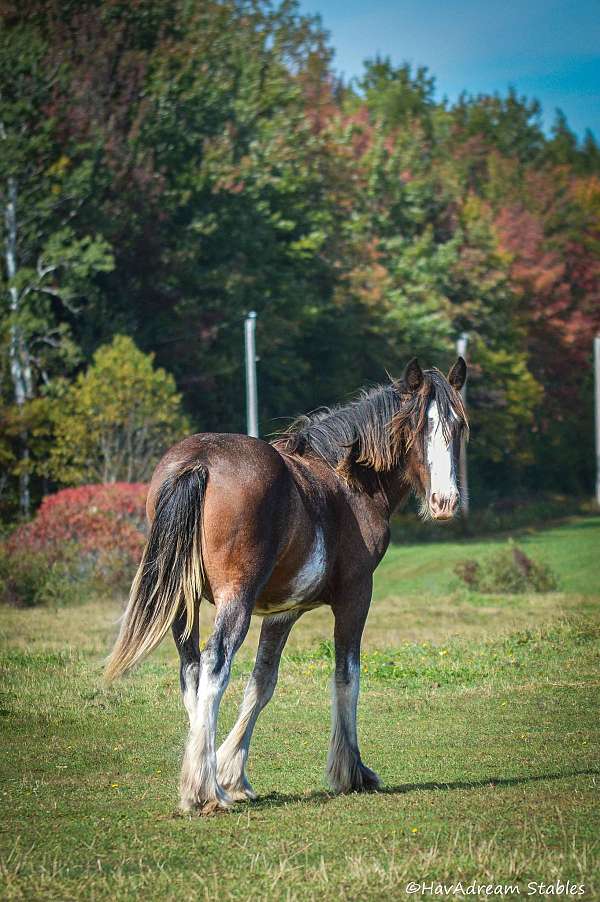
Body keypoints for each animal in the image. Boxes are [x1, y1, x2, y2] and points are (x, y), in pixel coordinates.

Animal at [105, 356, 468, 814]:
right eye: (420, 425)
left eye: (458, 425)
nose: (445, 502)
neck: (346, 481)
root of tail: (199, 462)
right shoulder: (355, 596)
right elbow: (347, 676)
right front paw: (352, 772)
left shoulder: (283, 612)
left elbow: (261, 683)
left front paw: (232, 772)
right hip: (235, 601)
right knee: (214, 666)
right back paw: (207, 792)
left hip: (183, 604)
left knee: (192, 673)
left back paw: (200, 780)